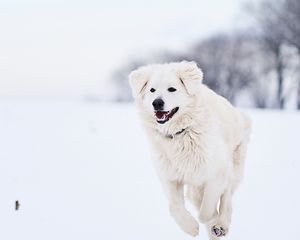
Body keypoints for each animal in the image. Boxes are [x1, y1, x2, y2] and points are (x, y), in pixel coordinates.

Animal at [129, 61, 251, 239]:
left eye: (172, 89)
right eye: (152, 90)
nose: (157, 103)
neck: (181, 133)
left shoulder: (217, 170)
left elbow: (208, 205)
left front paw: (207, 219)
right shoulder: (170, 176)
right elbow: (174, 206)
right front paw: (190, 227)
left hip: (233, 166)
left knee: (226, 200)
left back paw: (220, 225)